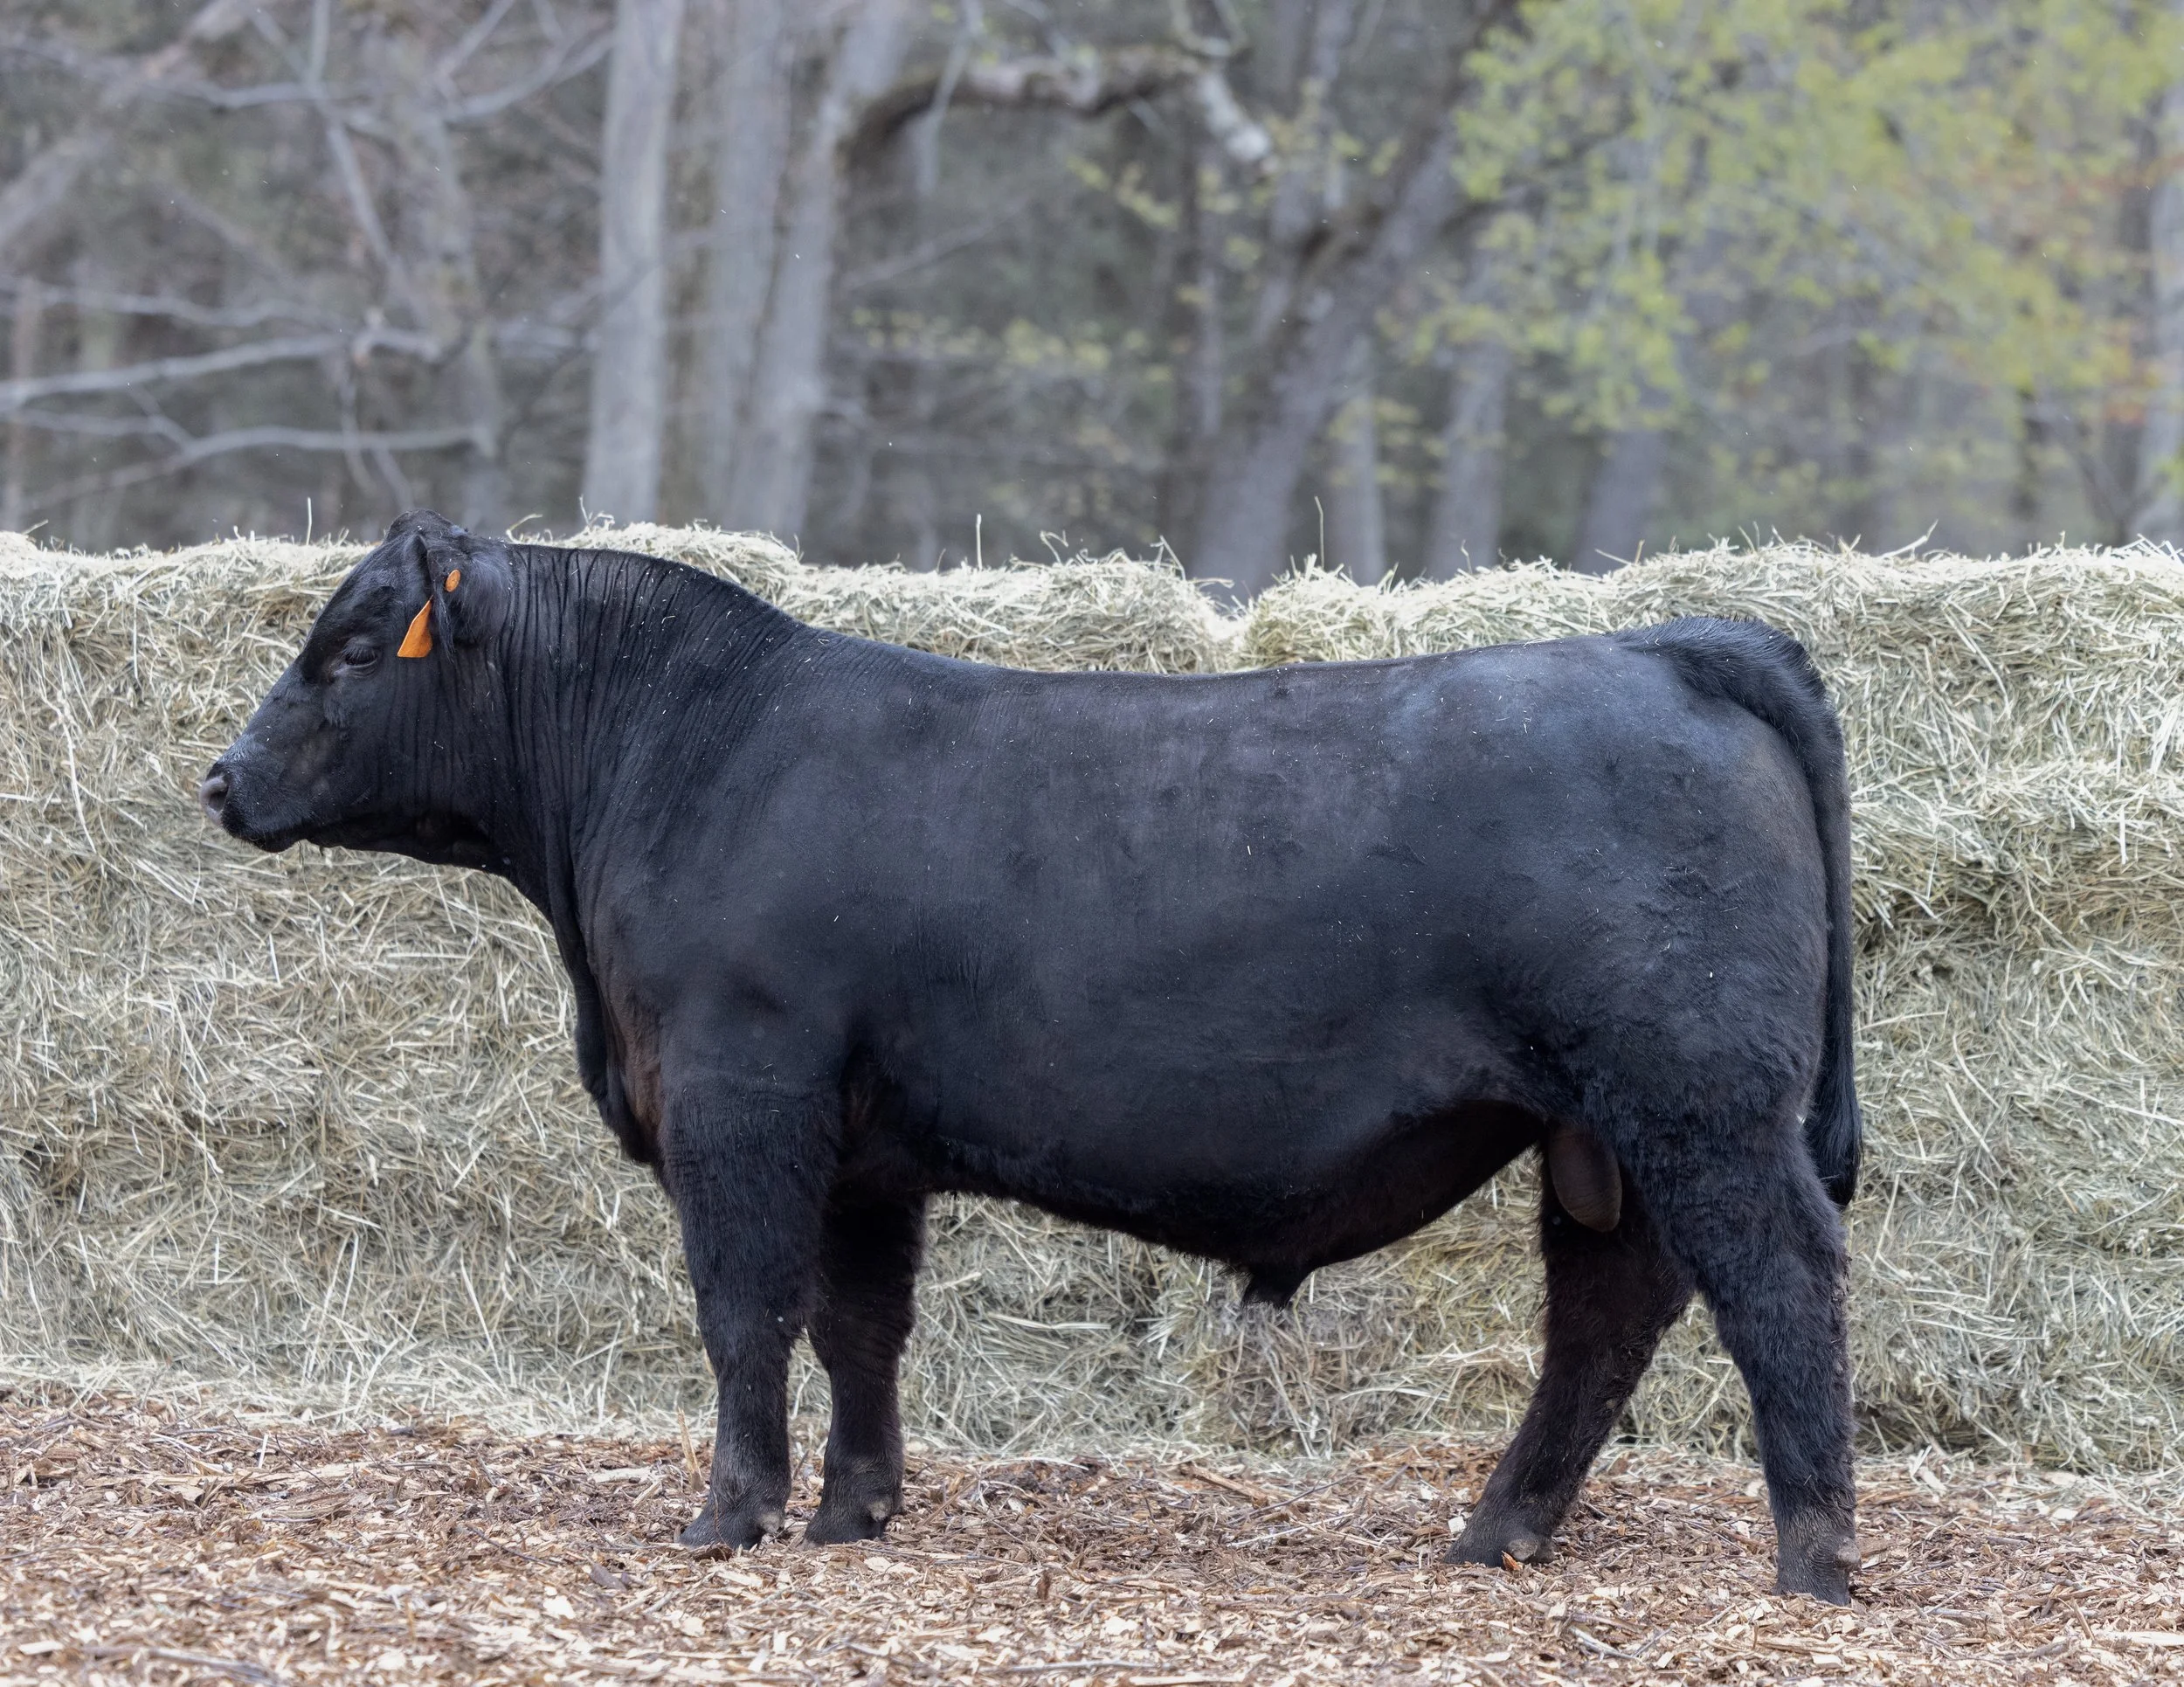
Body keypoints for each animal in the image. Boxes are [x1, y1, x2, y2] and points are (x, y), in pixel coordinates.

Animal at [201, 510, 1864, 1602]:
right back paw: (1497, 1530)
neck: (687, 753)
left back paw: (1815, 1552)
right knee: (1608, 1315)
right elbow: (857, 1324)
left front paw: (732, 1513)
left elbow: (745, 1310)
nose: (221, 778)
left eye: (353, 648)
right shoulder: (864, 1144)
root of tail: (1682, 642)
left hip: (1700, 1102)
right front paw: (855, 1509)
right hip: (1606, 1134)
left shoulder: (742, 1093)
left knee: (1776, 1284)